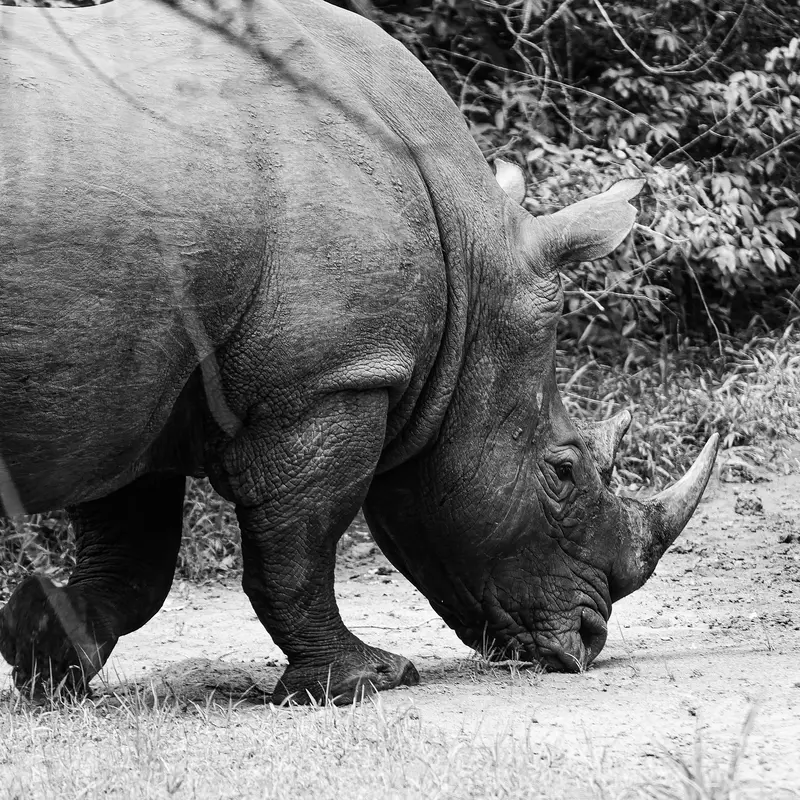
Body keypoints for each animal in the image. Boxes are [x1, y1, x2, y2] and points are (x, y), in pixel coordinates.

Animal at [0, 0, 717, 704]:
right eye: (563, 471)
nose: (588, 642)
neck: (470, 268)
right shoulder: (330, 380)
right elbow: (297, 545)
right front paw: (368, 680)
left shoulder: (135, 385)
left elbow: (133, 558)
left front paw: (46, 647)